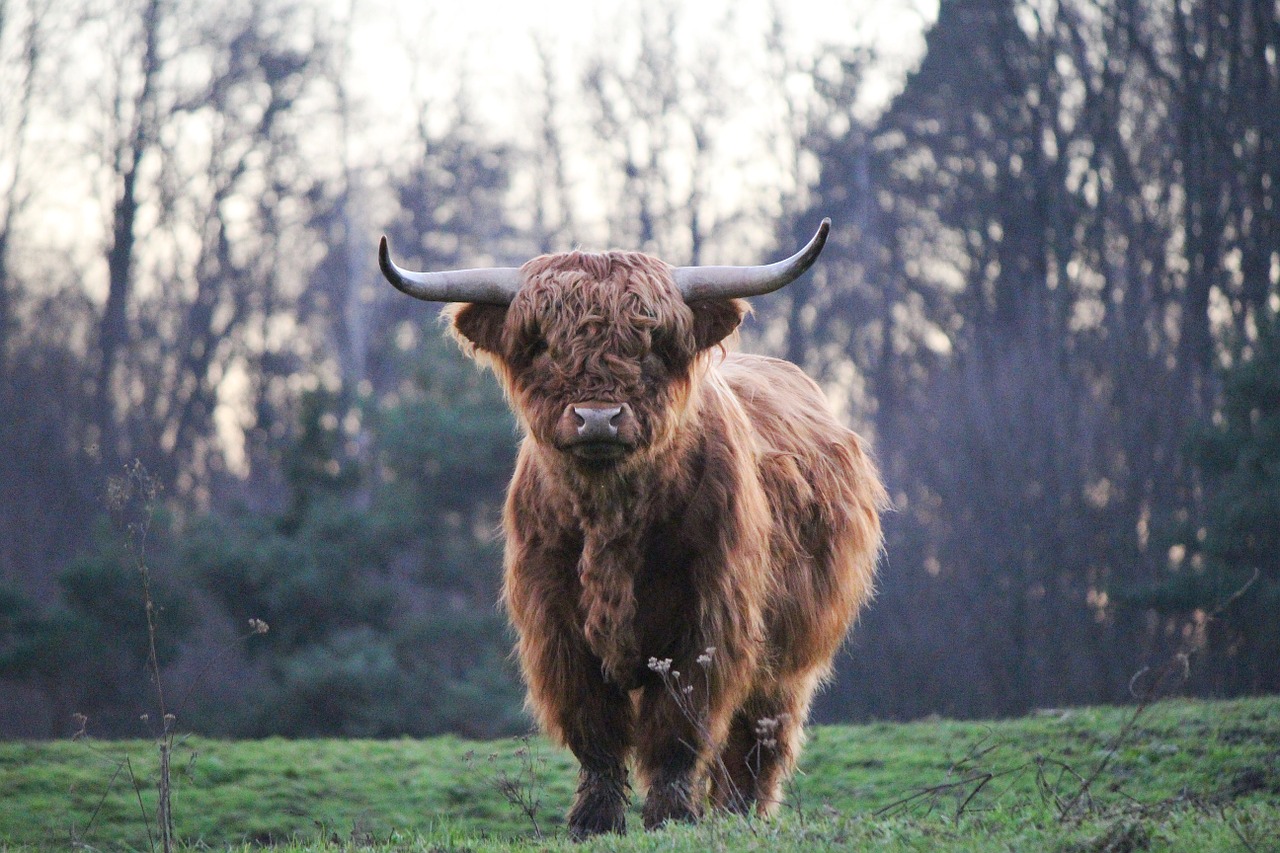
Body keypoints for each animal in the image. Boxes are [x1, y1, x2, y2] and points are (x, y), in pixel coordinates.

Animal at [373, 219, 885, 835]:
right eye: (544, 344)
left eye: (650, 342)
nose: (598, 417)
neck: (610, 523)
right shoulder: (556, 624)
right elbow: (594, 730)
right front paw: (593, 820)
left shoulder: (708, 620)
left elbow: (678, 729)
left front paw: (672, 815)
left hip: (791, 652)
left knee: (760, 736)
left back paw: (740, 814)